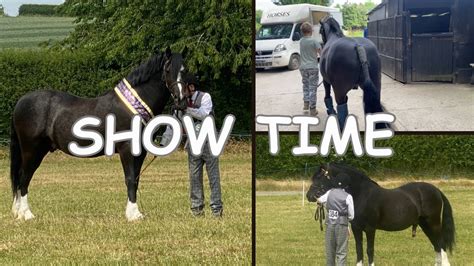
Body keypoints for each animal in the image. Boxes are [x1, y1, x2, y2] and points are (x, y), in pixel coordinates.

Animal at [11, 46, 189, 221]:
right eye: (167, 70)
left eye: (185, 70)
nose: (181, 99)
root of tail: (21, 102)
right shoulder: (127, 149)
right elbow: (130, 179)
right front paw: (132, 215)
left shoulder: (140, 151)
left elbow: (136, 179)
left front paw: (135, 213)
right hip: (31, 149)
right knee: (24, 177)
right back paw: (26, 214)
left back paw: (19, 213)